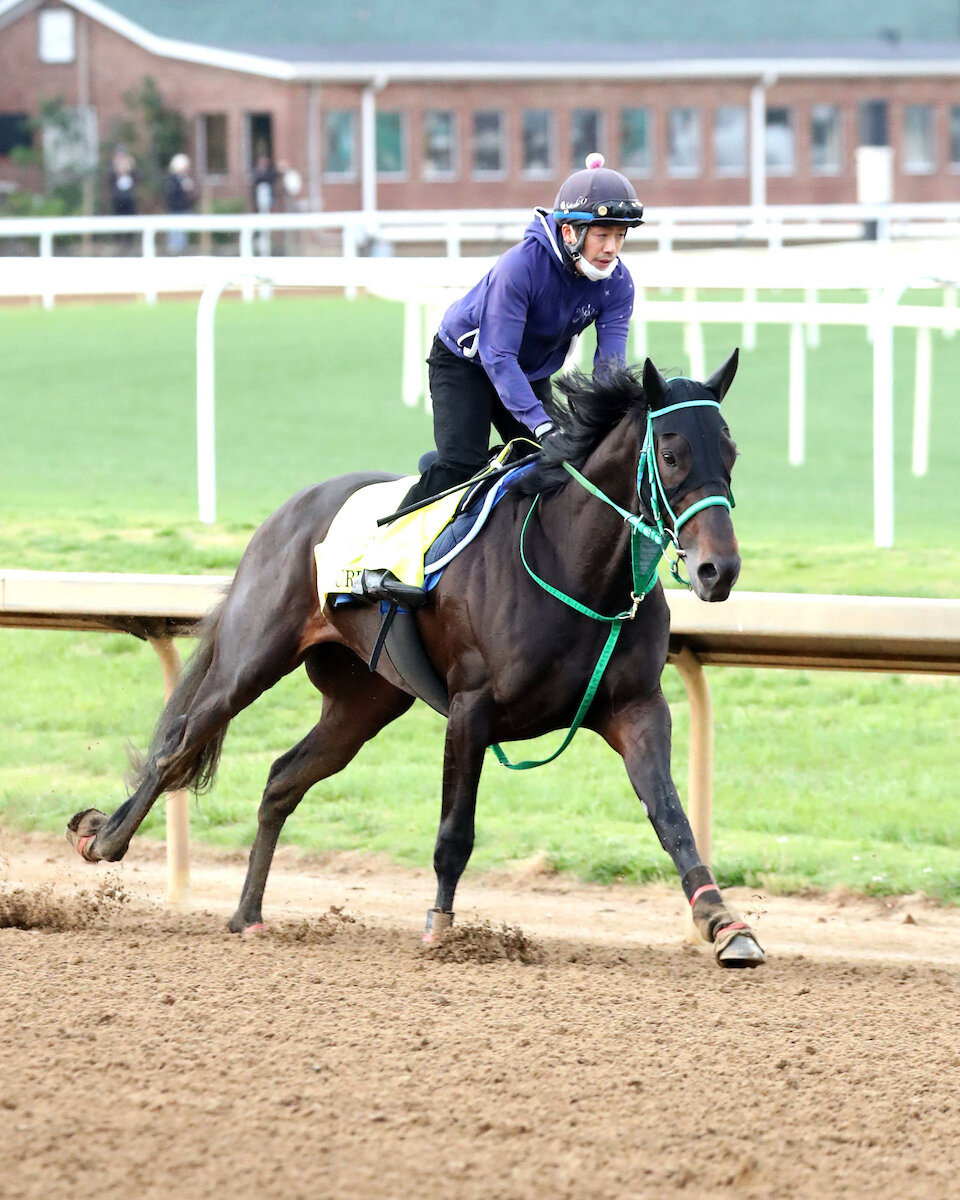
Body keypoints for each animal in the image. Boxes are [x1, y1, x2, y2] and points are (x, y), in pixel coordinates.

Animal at [66, 351, 765, 968]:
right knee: (179, 743)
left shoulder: (636, 708)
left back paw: (247, 913)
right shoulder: (471, 708)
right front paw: (441, 928)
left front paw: (725, 924)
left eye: (731, 453)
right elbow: (455, 831)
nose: (719, 570)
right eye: (671, 455)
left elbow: (673, 817)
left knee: (282, 778)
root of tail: (285, 513)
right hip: (252, 657)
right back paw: (102, 837)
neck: (573, 566)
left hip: (364, 701)